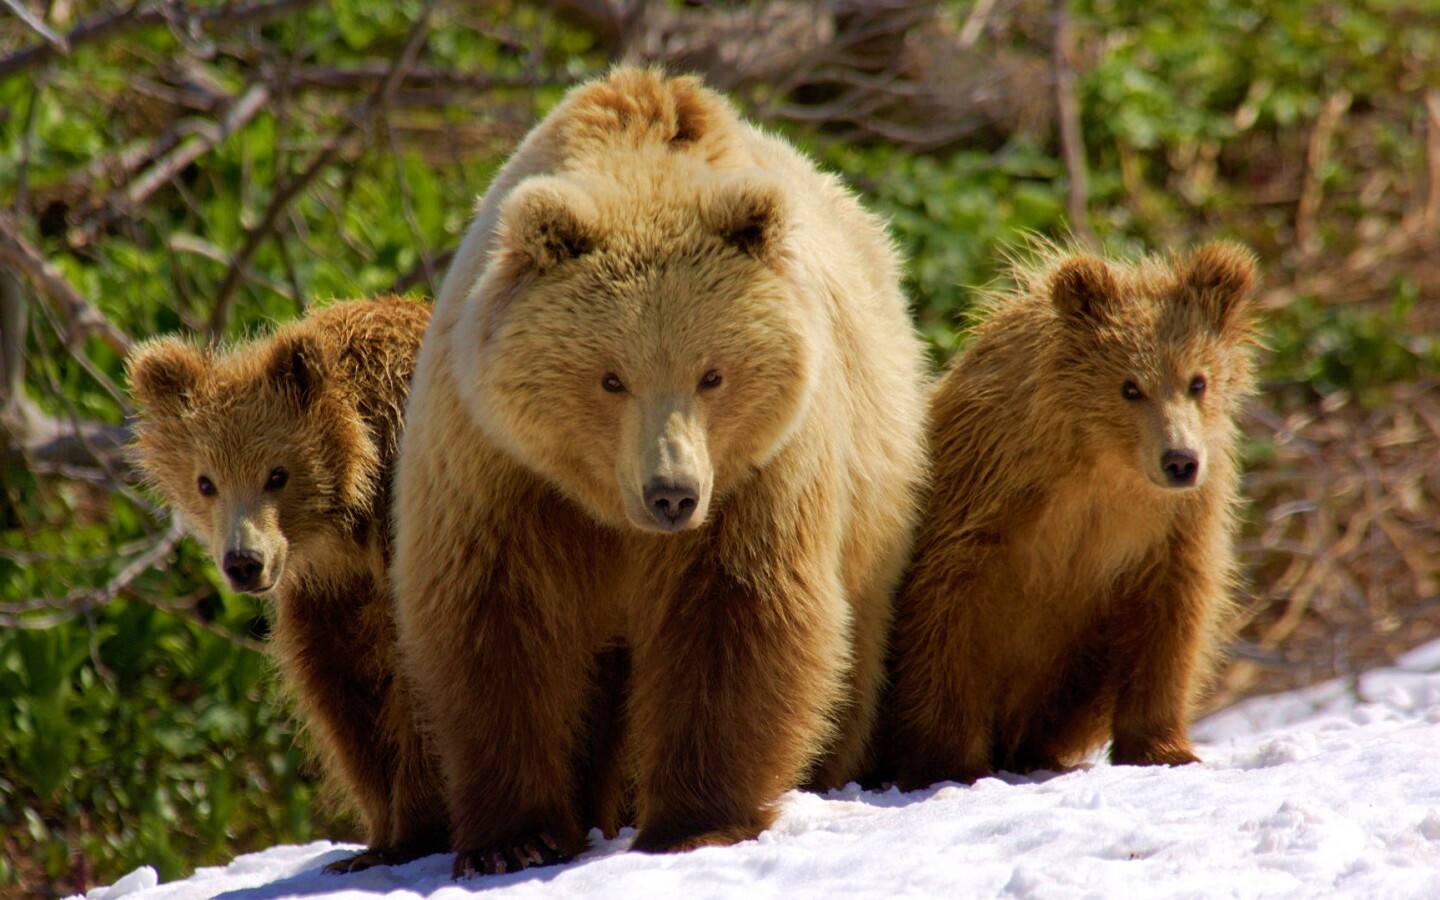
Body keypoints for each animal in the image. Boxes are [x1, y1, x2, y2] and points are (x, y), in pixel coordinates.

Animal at [127, 298, 446, 875]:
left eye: (277, 474)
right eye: (206, 482)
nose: (244, 562)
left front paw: (415, 833)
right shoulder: (329, 597)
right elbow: (342, 695)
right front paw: (374, 839)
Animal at [394, 64, 927, 875]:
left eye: (712, 373)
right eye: (611, 378)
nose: (671, 493)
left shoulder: (759, 473)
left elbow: (735, 615)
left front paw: (695, 821)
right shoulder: (499, 470)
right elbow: (497, 625)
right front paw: (513, 840)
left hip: (874, 494)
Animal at [887, 239, 1261, 783]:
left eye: (1198, 381)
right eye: (1130, 387)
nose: (1179, 461)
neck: (1101, 467)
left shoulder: (1173, 527)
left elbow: (1171, 620)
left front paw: (1164, 748)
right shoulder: (985, 502)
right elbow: (945, 618)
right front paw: (950, 761)